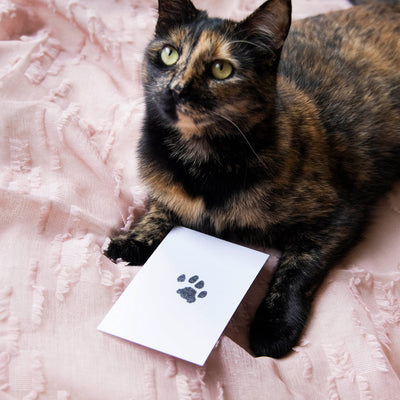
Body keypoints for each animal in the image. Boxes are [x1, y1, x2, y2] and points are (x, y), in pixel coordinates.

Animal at [105, 0, 400, 358]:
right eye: (169, 54)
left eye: (221, 69)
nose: (176, 89)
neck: (201, 163)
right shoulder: (163, 187)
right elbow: (158, 212)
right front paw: (131, 243)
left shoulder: (338, 215)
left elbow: (296, 268)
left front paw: (273, 328)